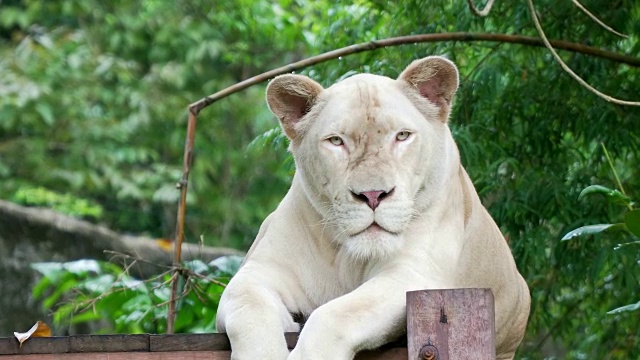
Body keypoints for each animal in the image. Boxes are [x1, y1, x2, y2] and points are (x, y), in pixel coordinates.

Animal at [216, 55, 528, 360]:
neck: (348, 258)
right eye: (336, 141)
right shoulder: (257, 271)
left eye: (402, 136)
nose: (373, 195)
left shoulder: (413, 273)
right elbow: (249, 307)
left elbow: (337, 314)